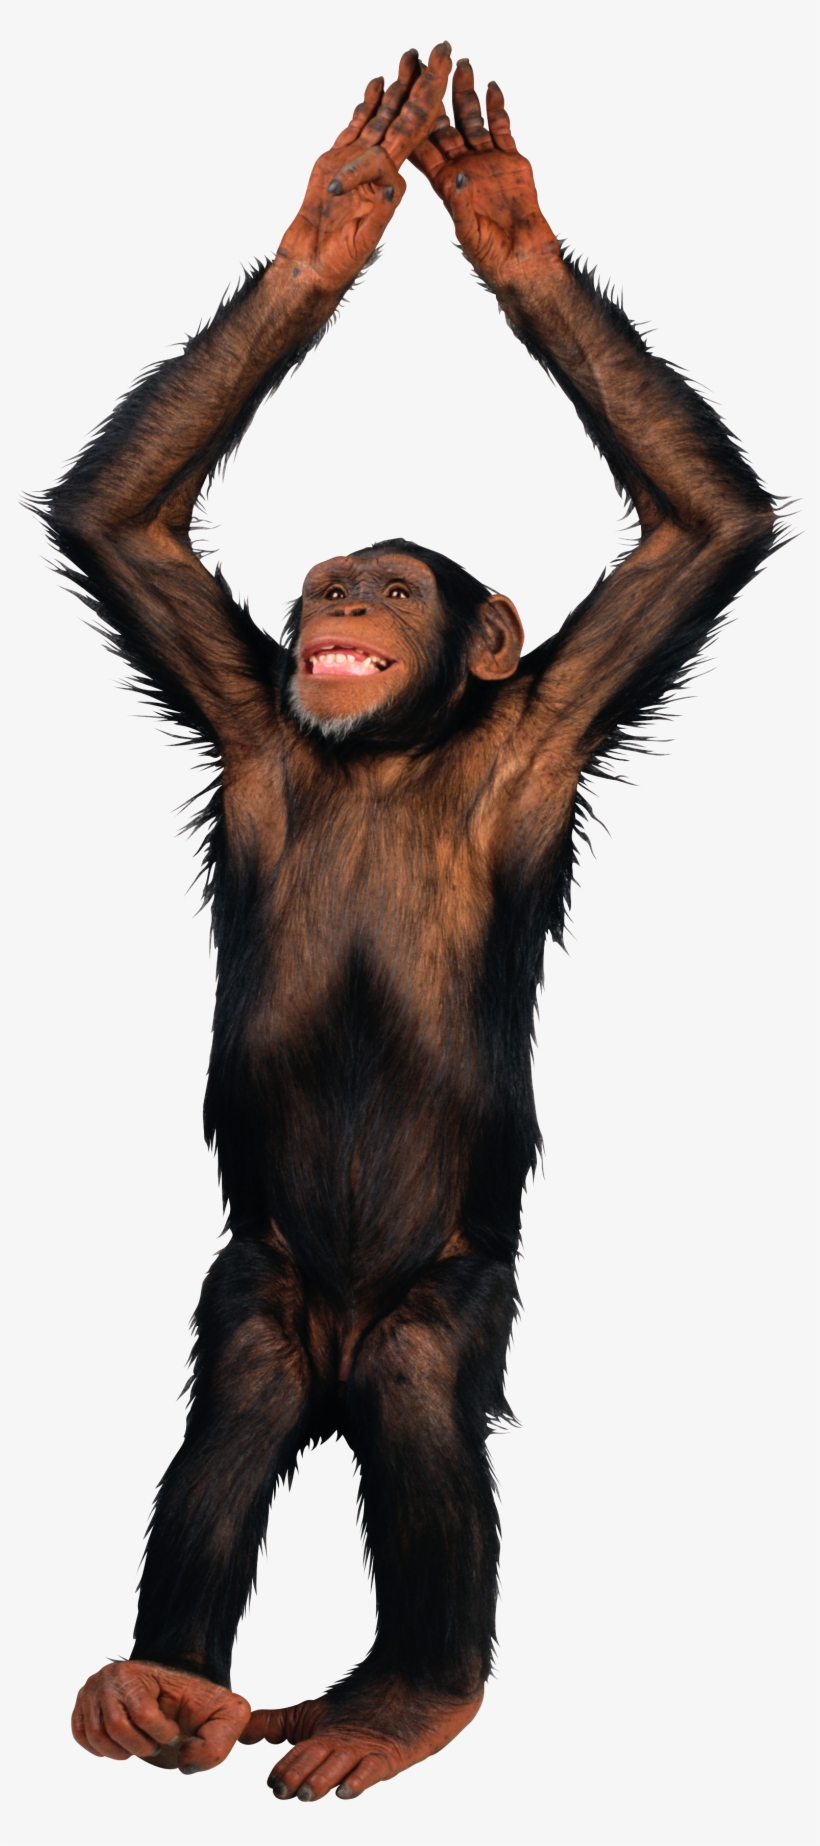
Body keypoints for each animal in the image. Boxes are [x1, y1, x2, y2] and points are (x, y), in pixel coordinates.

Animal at [39, 45, 777, 1804]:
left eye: (384, 582)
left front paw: (507, 223)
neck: (393, 747)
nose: (334, 603)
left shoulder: (555, 720)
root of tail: (334, 1353)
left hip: (445, 1296)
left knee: (428, 1405)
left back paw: (411, 1695)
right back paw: (160, 1685)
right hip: (260, 1281)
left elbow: (702, 530)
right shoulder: (246, 706)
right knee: (233, 1408)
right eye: (321, 584)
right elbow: (123, 526)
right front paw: (339, 213)